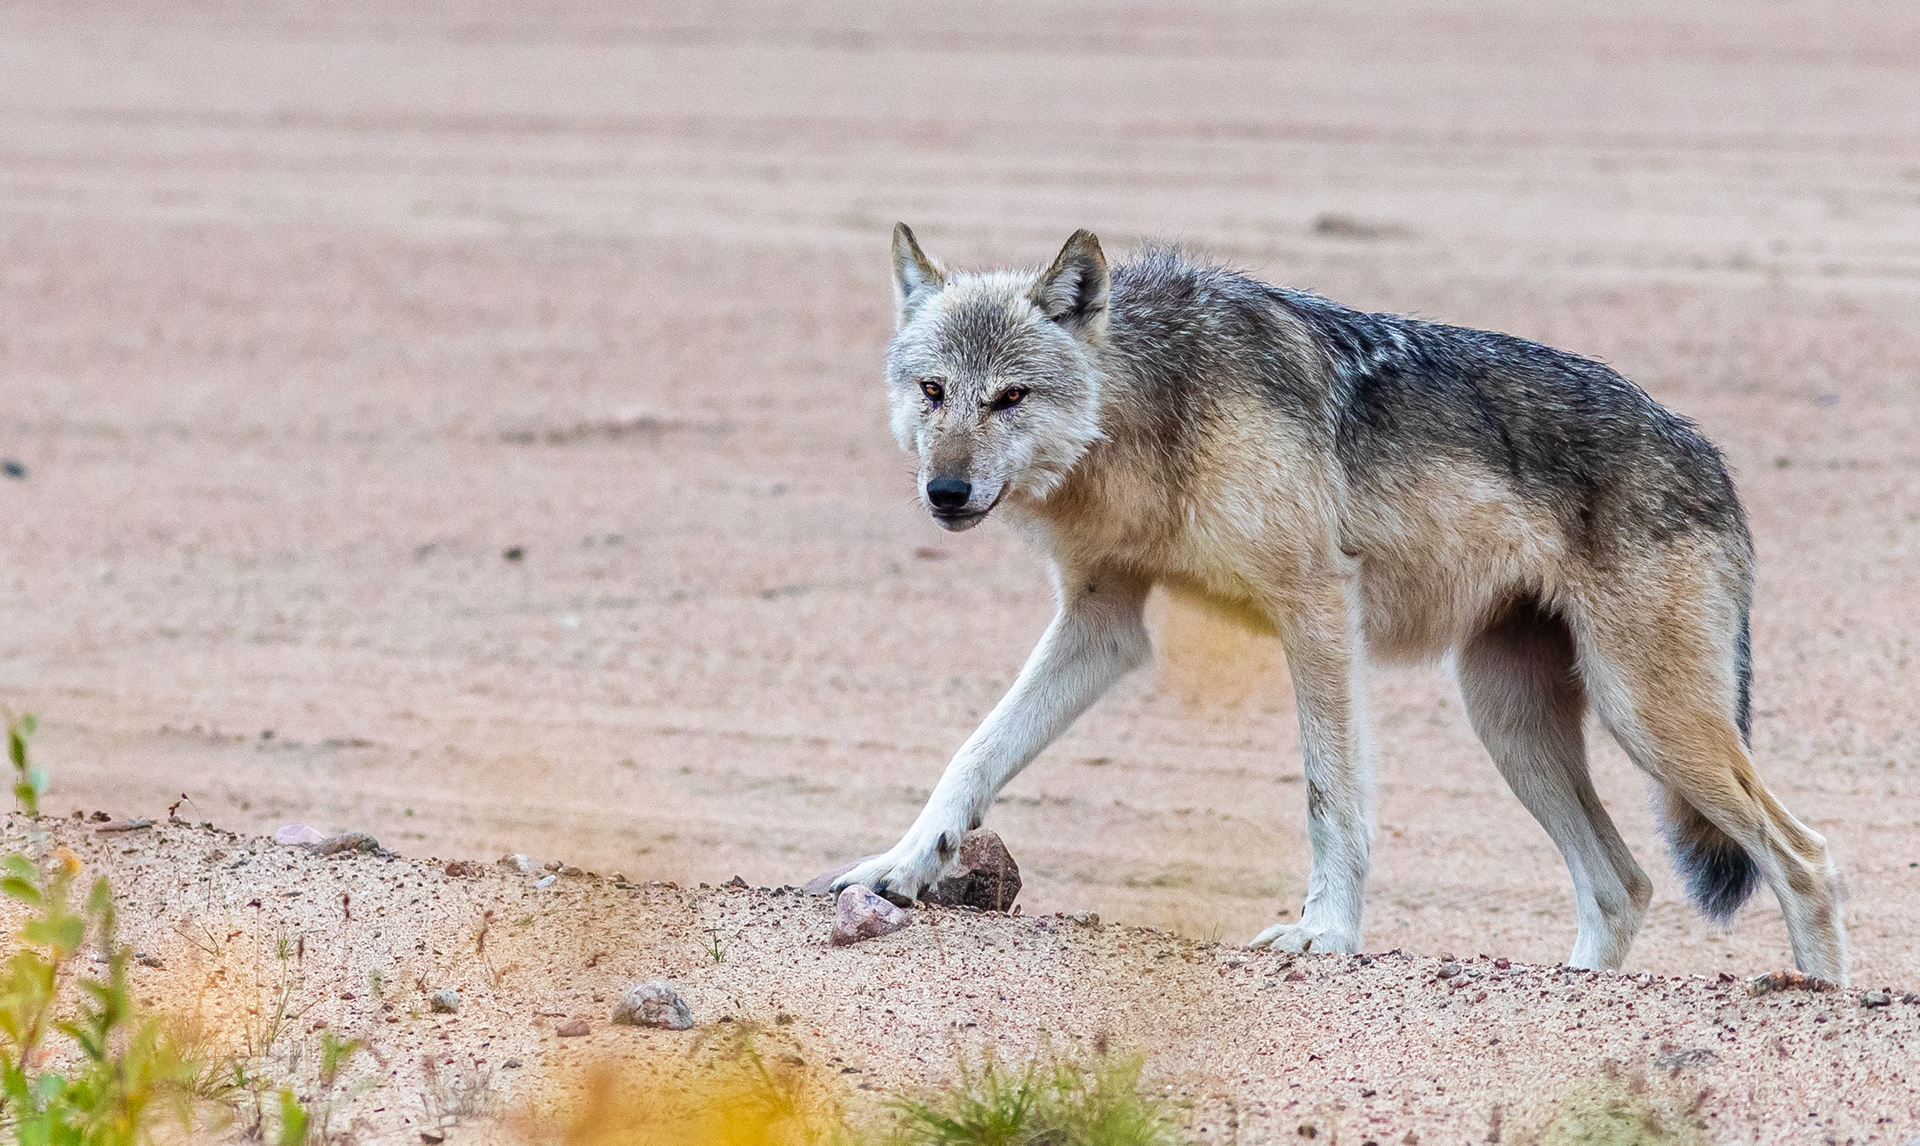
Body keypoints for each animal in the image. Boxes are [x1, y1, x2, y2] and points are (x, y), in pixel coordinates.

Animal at [832, 224, 1848, 983]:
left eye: (1010, 397)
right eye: (934, 391)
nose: (946, 492)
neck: (1153, 412)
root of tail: (1712, 456)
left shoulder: (1316, 605)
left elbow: (1331, 797)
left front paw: (1325, 934)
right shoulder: (1102, 625)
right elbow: (973, 754)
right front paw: (902, 866)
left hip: (1645, 718)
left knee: (1806, 858)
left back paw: (1819, 995)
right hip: (1512, 723)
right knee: (1623, 885)